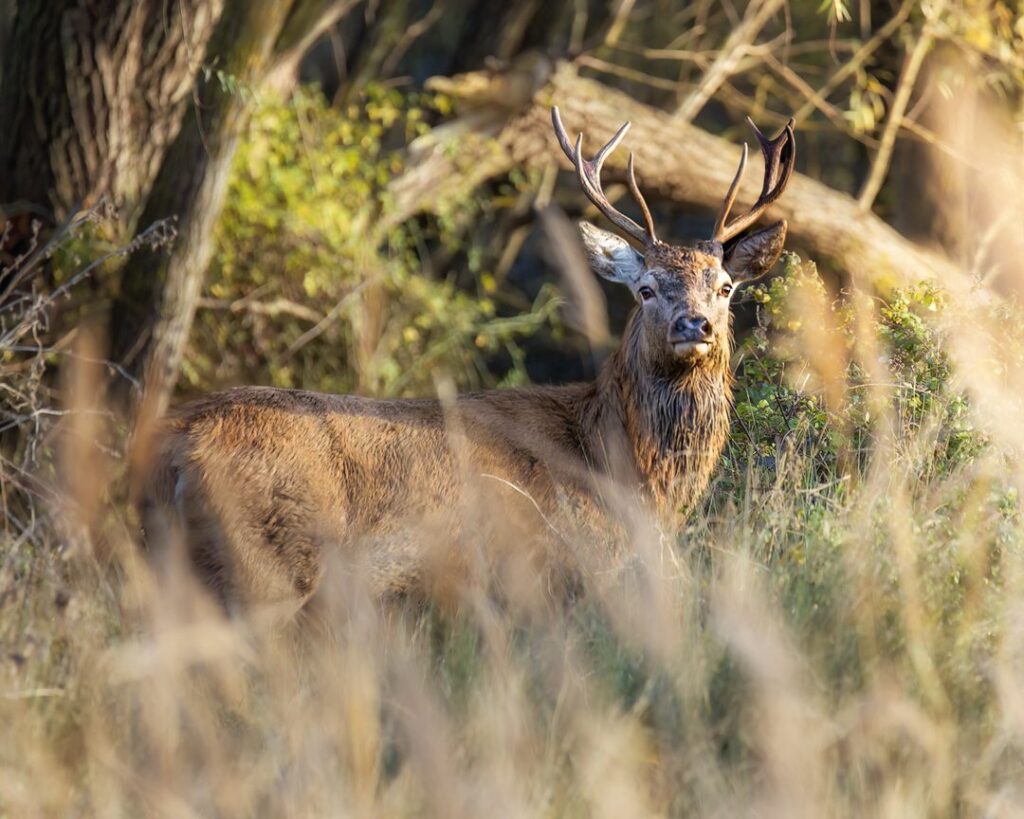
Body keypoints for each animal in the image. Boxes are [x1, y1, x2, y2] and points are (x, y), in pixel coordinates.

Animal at [140, 107, 795, 615]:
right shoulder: (555, 570)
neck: (625, 468)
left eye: (725, 287)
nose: (694, 325)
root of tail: (168, 445)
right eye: (646, 289)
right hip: (264, 566)